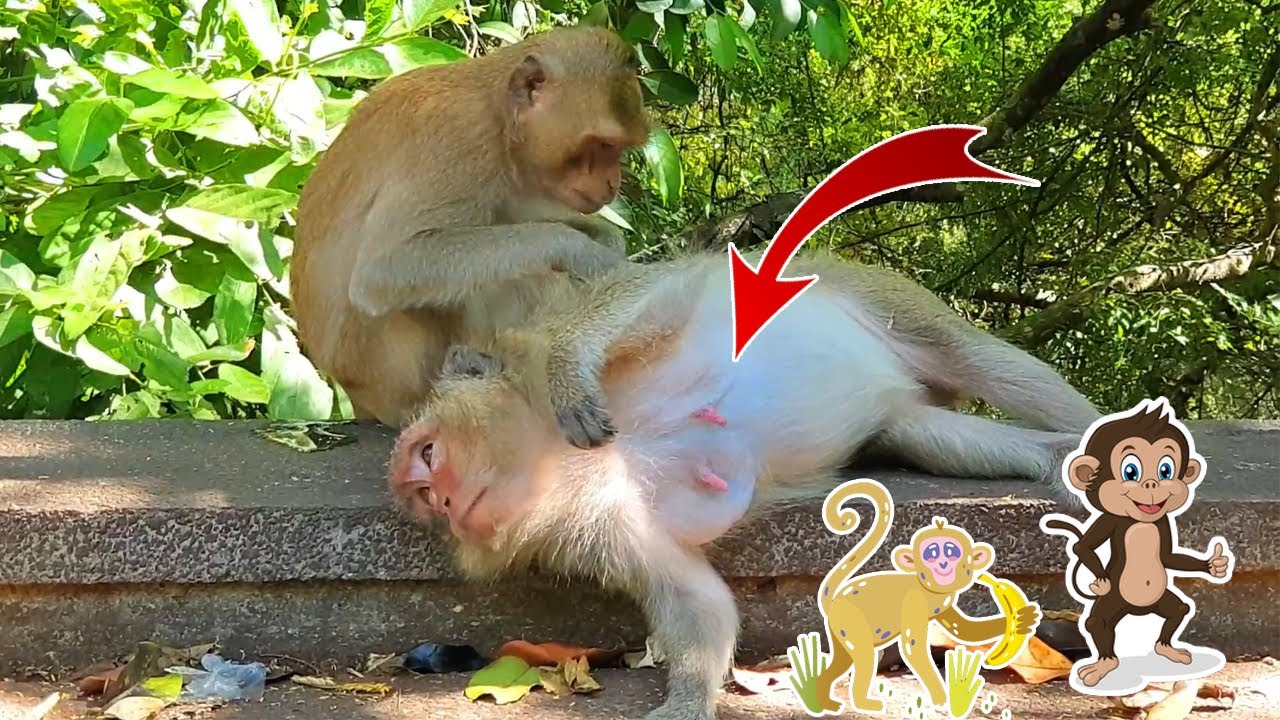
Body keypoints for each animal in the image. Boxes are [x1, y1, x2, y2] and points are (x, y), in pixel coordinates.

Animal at [290, 26, 651, 429]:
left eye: (618, 148)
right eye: (603, 145)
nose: (613, 183)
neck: (497, 115)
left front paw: (606, 237)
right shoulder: (457, 140)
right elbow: (383, 269)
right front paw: (581, 251)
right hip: (380, 370)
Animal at [811, 481, 1040, 714]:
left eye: (952, 552)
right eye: (931, 553)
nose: (943, 564)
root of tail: (834, 600)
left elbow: (964, 630)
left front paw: (1021, 620)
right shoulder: (915, 602)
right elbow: (913, 648)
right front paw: (941, 697)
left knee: (845, 660)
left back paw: (826, 701)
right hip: (851, 622)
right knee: (865, 656)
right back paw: (862, 702)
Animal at [1041, 398, 1233, 690]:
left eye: (1166, 469)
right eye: (1130, 471)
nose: (1151, 483)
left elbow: (1168, 556)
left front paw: (1213, 565)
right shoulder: (1111, 520)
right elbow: (1082, 547)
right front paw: (1101, 580)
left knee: (1179, 609)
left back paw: (1167, 647)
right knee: (1097, 621)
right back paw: (1104, 663)